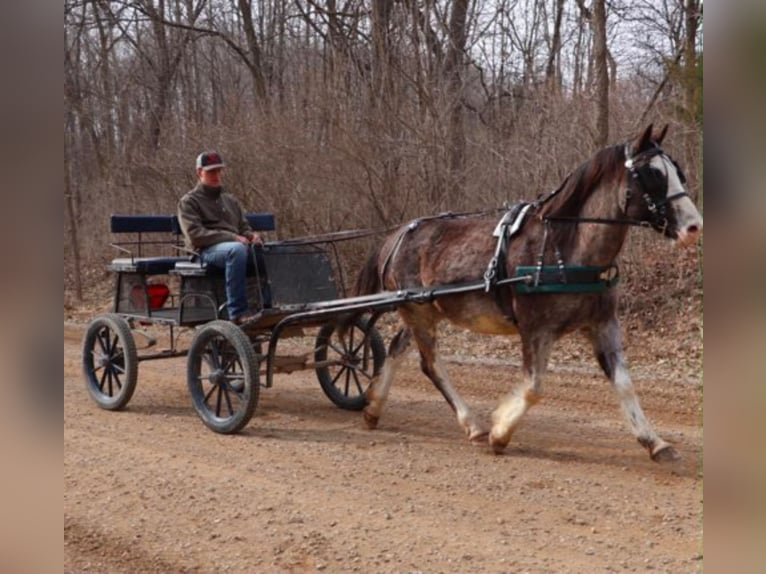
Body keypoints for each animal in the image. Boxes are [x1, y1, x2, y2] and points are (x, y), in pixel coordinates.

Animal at [354, 124, 703, 461]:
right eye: (652, 174)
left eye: (677, 171)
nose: (694, 226)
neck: (565, 245)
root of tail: (398, 235)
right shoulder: (536, 329)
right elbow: (534, 387)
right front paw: (499, 433)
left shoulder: (602, 324)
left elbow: (625, 384)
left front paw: (655, 443)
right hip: (419, 312)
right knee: (431, 364)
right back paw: (473, 425)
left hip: (422, 310)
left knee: (398, 348)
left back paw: (373, 408)